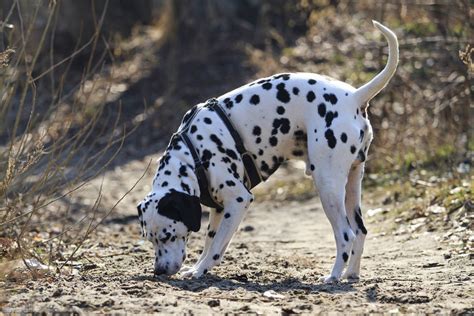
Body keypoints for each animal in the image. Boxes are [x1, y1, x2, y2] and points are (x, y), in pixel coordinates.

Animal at [137, 21, 400, 282]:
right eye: (150, 239)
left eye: (168, 235)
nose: (159, 271)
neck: (193, 154)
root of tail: (354, 97)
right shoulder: (219, 208)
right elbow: (210, 241)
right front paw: (196, 267)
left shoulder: (239, 200)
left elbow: (216, 247)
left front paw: (201, 270)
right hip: (352, 185)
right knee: (360, 231)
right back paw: (351, 273)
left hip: (327, 184)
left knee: (346, 235)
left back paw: (333, 276)